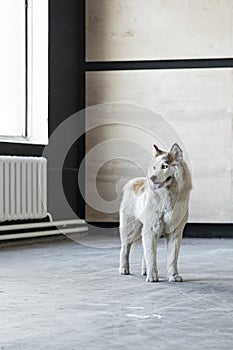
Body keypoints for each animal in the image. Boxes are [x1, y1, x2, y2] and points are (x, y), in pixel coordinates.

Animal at [119, 144, 192, 284]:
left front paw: (173, 276)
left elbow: (172, 258)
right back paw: (124, 269)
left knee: (143, 251)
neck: (167, 197)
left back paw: (144, 271)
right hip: (131, 229)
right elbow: (151, 256)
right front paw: (152, 276)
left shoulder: (174, 233)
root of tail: (132, 181)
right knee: (125, 249)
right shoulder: (151, 230)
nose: (152, 177)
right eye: (154, 167)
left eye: (165, 166)